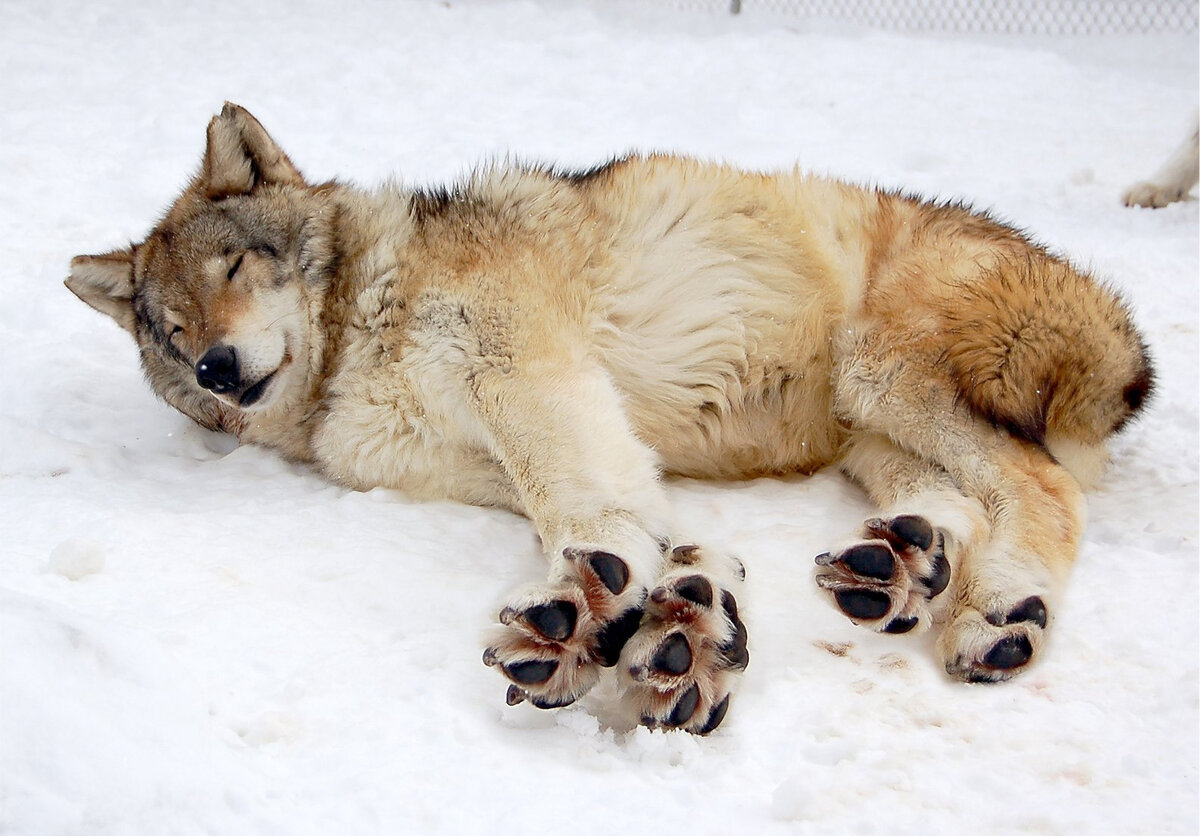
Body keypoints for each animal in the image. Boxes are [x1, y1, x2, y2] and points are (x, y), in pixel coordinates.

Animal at [65, 102, 1152, 729]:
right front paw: (685, 613)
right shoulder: (497, 454)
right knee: (959, 501)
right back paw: (900, 564)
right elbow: (641, 518)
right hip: (871, 435)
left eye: (235, 268)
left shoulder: (524, 371)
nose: (216, 368)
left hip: (880, 374)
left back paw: (1001, 609)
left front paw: (594, 596)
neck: (350, 345)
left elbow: (581, 505)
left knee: (1043, 488)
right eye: (171, 330)